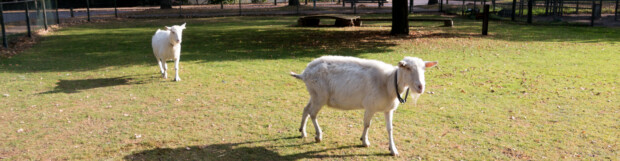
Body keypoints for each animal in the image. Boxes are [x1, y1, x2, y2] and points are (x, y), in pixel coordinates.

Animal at [290, 55, 436, 156]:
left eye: (424, 69)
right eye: (408, 68)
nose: (420, 87)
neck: (388, 82)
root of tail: (305, 72)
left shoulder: (388, 109)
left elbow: (389, 129)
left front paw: (393, 150)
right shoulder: (370, 106)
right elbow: (367, 124)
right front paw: (365, 142)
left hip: (314, 94)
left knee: (306, 109)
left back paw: (302, 132)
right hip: (320, 95)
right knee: (313, 113)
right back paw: (318, 136)